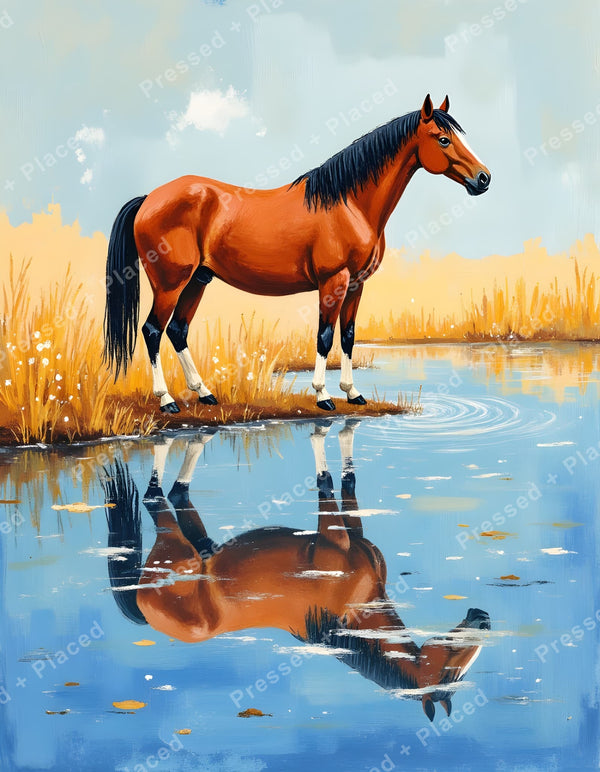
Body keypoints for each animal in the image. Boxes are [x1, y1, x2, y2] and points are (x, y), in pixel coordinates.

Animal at [102, 421, 491, 719]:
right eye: (450, 668)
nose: (483, 617)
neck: (351, 614)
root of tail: (142, 606)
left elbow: (348, 482)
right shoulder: (332, 533)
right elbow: (326, 480)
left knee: (177, 495)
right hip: (176, 552)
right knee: (155, 498)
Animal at [103, 94, 491, 413]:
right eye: (443, 139)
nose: (484, 179)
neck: (349, 203)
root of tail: (149, 198)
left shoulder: (356, 284)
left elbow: (348, 336)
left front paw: (353, 393)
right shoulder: (333, 281)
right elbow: (324, 336)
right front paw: (323, 396)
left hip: (198, 279)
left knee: (177, 331)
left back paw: (204, 394)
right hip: (170, 282)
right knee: (153, 330)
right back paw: (167, 401)